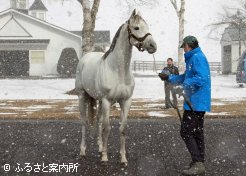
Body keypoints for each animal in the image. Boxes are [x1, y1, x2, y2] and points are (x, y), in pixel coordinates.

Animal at [75, 9, 157, 164]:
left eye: (148, 26)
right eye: (136, 28)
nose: (153, 46)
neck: (118, 71)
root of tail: (85, 58)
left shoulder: (126, 101)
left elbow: (122, 128)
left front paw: (123, 158)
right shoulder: (107, 101)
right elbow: (107, 128)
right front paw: (105, 157)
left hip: (99, 101)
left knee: (99, 121)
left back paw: (100, 147)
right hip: (83, 96)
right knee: (83, 122)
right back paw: (82, 151)